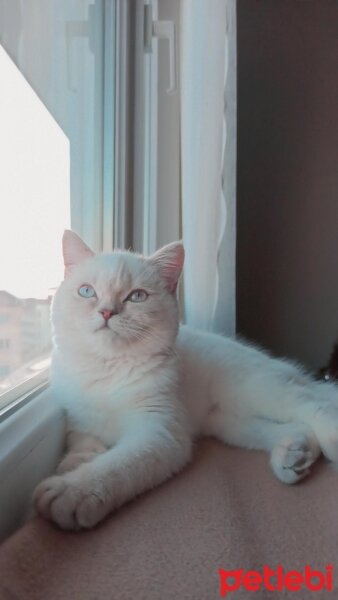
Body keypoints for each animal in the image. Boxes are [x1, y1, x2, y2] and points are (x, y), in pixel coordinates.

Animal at [33, 230, 338, 528]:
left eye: (137, 296)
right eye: (86, 291)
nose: (107, 312)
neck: (107, 369)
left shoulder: (159, 432)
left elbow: (116, 465)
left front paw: (71, 491)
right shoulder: (78, 416)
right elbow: (80, 437)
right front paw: (77, 460)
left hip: (256, 389)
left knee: (314, 406)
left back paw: (327, 442)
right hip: (229, 423)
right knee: (296, 427)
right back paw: (293, 457)